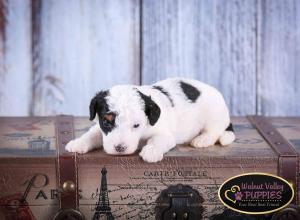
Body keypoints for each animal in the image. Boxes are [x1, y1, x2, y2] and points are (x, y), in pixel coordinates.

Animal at [65, 78, 234, 162]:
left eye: (136, 125)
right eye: (107, 122)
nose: (120, 148)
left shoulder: (164, 134)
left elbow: (158, 140)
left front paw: (151, 151)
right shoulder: (99, 126)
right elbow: (92, 134)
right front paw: (78, 143)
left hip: (214, 114)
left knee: (214, 130)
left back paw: (202, 139)